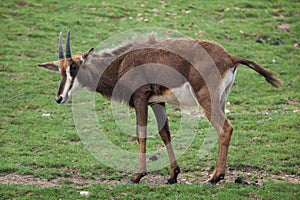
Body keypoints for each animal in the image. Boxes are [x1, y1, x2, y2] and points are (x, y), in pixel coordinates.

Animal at [38, 30, 282, 185]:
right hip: (221, 99)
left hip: (207, 100)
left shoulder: (140, 99)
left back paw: (214, 178)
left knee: (225, 128)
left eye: (74, 67)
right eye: (60, 69)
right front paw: (173, 176)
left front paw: (136, 177)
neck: (121, 62)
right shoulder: (157, 101)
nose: (59, 97)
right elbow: (165, 134)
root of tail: (230, 57)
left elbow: (141, 134)